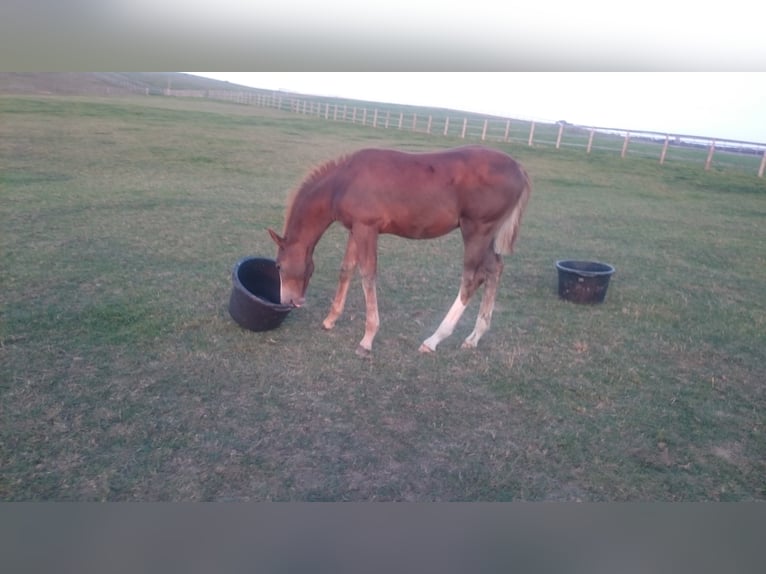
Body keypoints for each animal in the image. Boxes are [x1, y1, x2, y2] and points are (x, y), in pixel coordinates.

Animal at [270, 145, 536, 356]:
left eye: (279, 266)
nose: (289, 301)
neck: (343, 182)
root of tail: (519, 169)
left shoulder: (367, 228)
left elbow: (367, 275)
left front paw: (367, 339)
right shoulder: (356, 229)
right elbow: (346, 269)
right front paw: (330, 320)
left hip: (476, 231)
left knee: (472, 278)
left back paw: (434, 339)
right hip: (487, 235)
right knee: (495, 269)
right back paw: (474, 336)